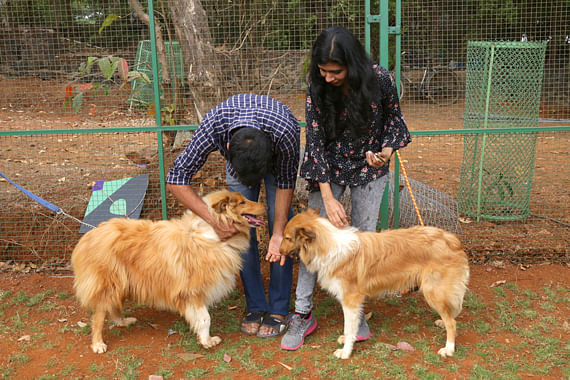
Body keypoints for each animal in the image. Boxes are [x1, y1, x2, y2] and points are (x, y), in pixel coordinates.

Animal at [71, 191, 264, 354]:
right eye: (242, 202)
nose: (264, 205)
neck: (212, 235)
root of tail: (88, 236)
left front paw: (205, 339)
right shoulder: (193, 291)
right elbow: (204, 318)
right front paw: (207, 341)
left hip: (122, 282)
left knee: (114, 306)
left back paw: (123, 321)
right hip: (108, 284)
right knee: (99, 315)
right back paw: (98, 344)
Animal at [278, 208, 468, 360]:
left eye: (287, 238)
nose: (278, 251)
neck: (327, 246)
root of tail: (452, 239)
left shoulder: (351, 300)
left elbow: (349, 327)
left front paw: (346, 352)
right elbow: (351, 327)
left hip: (432, 291)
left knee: (452, 323)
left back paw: (448, 348)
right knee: (451, 313)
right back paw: (442, 322)